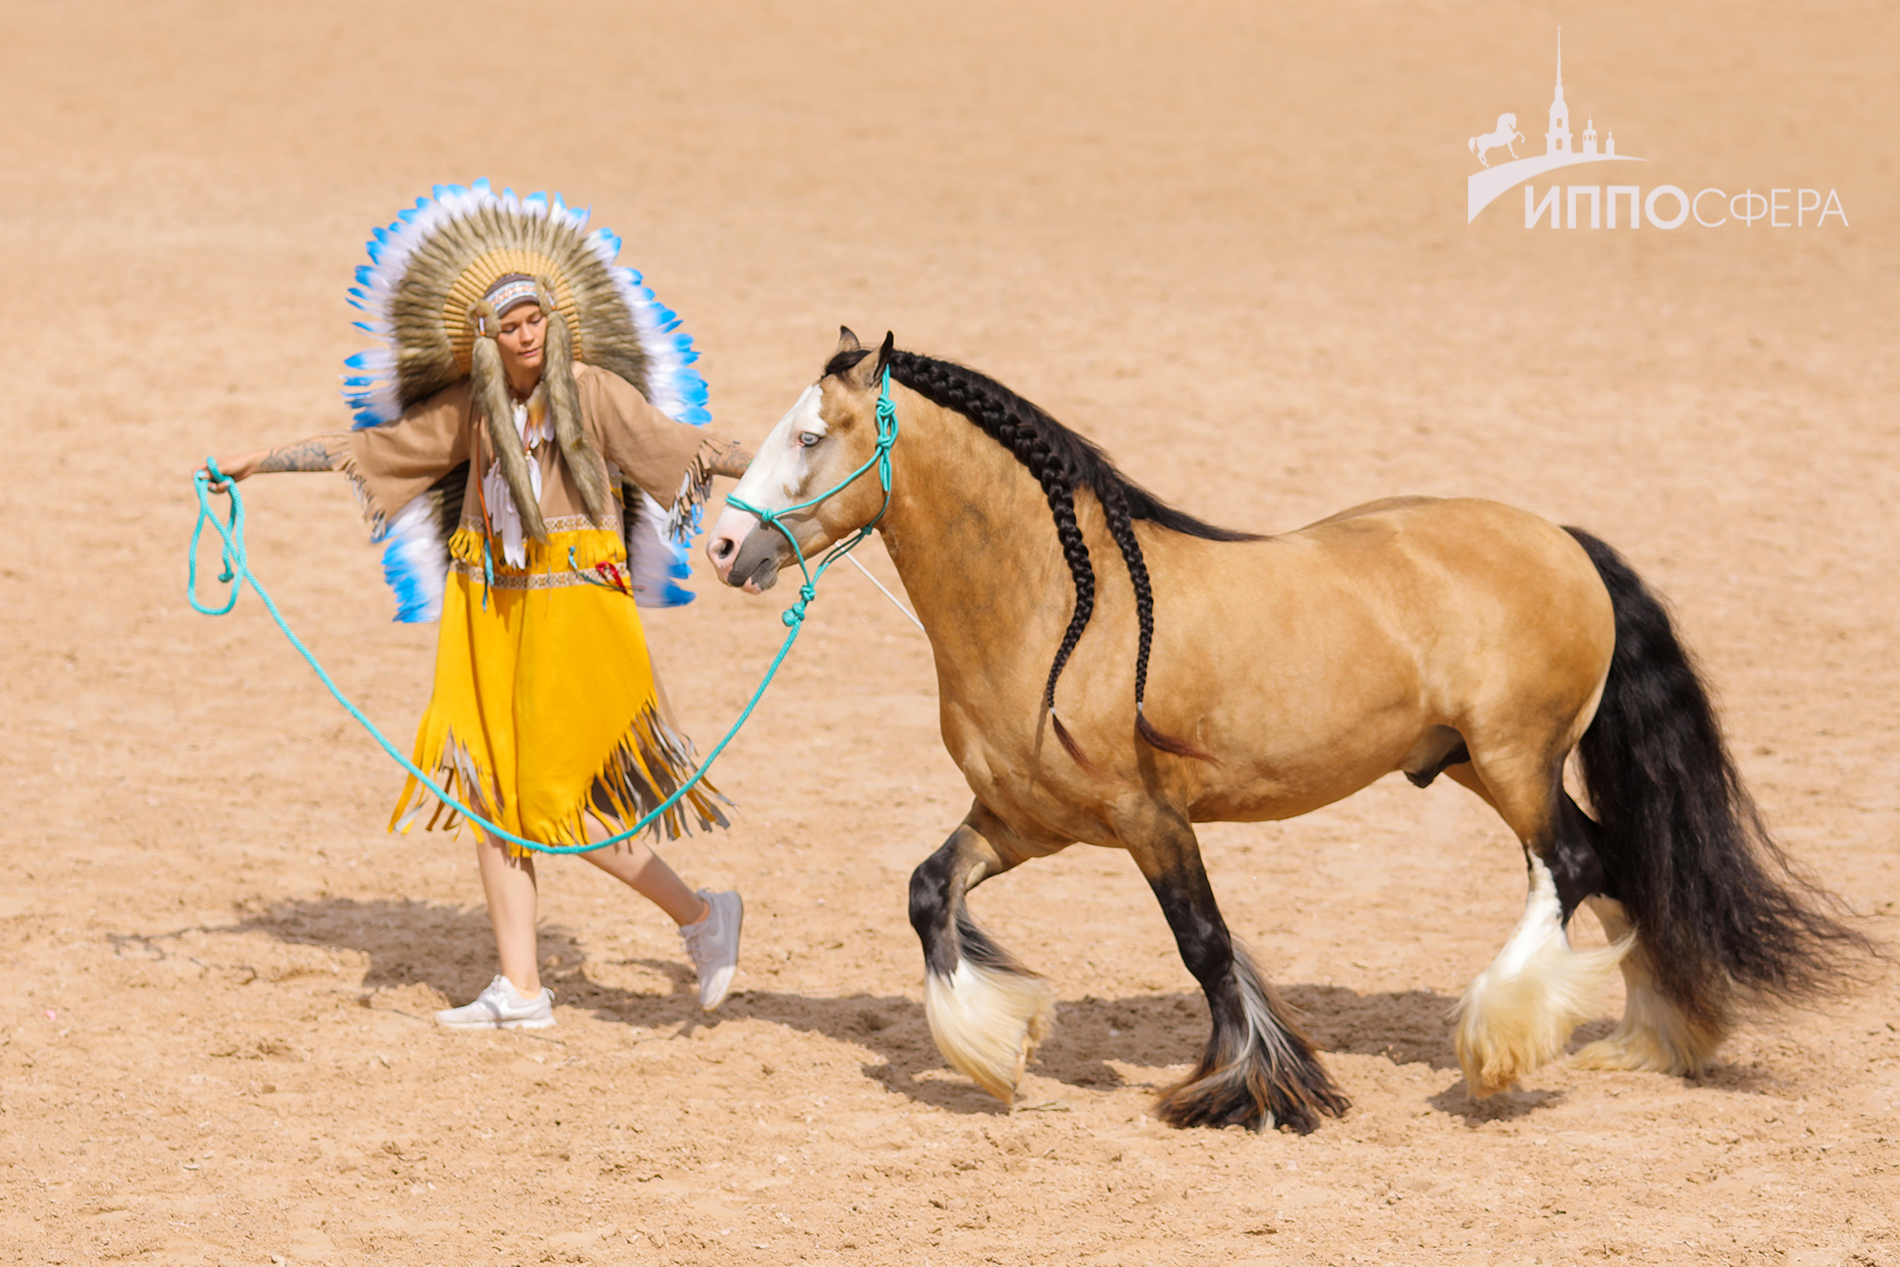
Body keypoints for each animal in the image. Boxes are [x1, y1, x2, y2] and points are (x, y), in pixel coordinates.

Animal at [703, 332, 1869, 1132]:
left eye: (810, 435)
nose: (721, 546)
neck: (1064, 608)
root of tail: (1561, 540)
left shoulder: (1149, 818)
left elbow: (1207, 945)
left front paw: (1252, 1090)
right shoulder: (1024, 818)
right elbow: (928, 892)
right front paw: (997, 1046)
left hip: (1514, 760)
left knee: (1573, 863)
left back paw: (1496, 1042)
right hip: (1472, 765)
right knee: (1617, 861)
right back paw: (1656, 1039)